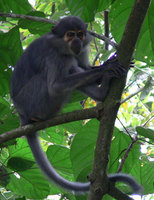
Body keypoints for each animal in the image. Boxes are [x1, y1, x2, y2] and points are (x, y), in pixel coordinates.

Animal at [9, 16, 142, 195]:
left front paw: (105, 65)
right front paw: (107, 68)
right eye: (70, 34)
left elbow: (85, 68)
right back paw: (104, 88)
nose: (77, 41)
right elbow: (56, 86)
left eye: (80, 34)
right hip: (33, 101)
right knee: (64, 71)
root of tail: (22, 116)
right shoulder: (55, 55)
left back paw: (101, 92)